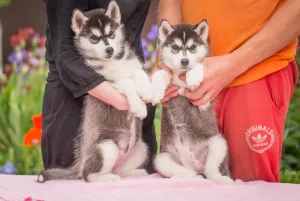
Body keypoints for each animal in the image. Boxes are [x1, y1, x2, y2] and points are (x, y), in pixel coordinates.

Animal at [38, 0, 152, 182]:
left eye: (111, 34)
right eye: (94, 38)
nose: (109, 50)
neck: (114, 61)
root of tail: (81, 162)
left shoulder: (132, 66)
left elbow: (139, 74)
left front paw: (148, 91)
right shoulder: (107, 81)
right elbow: (127, 82)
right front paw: (139, 106)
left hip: (141, 148)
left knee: (119, 170)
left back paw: (134, 173)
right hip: (107, 147)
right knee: (88, 175)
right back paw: (106, 178)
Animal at [151, 19, 233, 185]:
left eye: (193, 47)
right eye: (175, 47)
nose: (185, 61)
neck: (180, 75)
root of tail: (195, 165)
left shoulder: (205, 100)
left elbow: (199, 64)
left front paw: (193, 77)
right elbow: (162, 72)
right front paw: (156, 90)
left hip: (219, 143)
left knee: (210, 172)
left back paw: (221, 179)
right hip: (161, 159)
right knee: (191, 174)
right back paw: (182, 177)